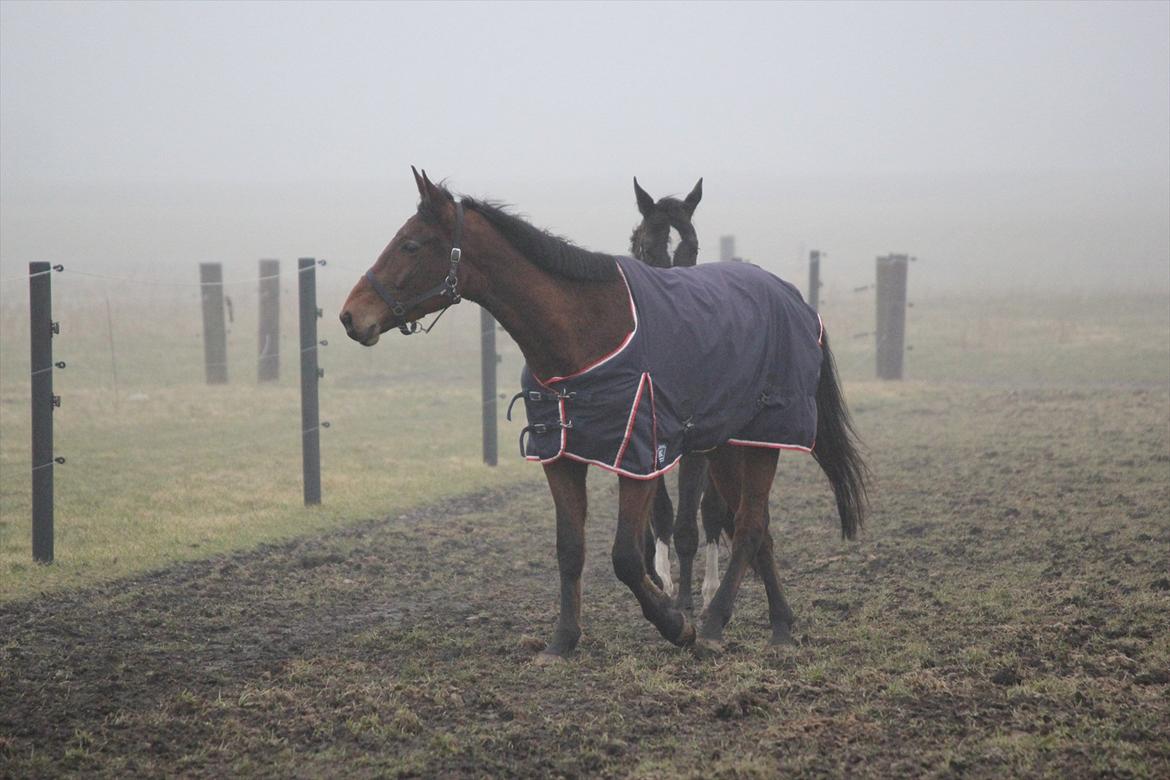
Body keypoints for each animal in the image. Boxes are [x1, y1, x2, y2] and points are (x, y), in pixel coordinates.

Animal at [339, 169, 870, 659]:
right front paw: (562, 641)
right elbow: (571, 550)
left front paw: (676, 622)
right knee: (757, 529)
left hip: (762, 440)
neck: (587, 331)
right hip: (728, 445)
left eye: (410, 245)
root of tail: (797, 301)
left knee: (750, 527)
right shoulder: (561, 457)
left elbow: (627, 557)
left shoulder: (639, 457)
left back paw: (715, 624)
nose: (349, 316)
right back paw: (780, 626)